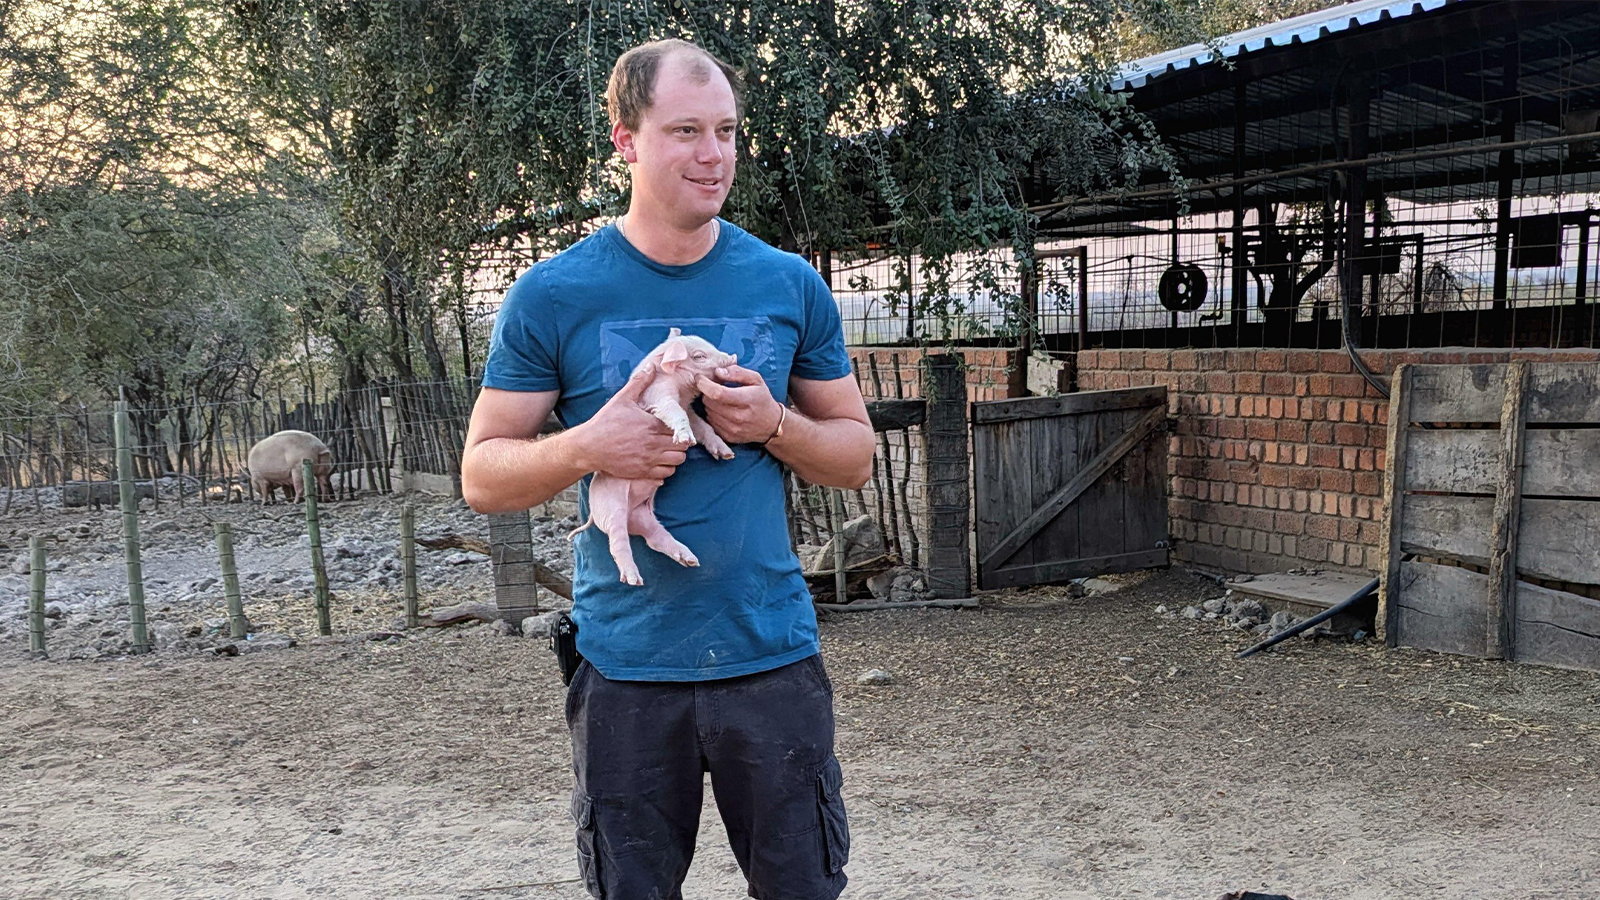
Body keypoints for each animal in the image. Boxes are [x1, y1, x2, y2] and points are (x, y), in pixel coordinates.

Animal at [572, 325, 739, 586]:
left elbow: (703, 427)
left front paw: (726, 454)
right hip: (613, 510)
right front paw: (686, 440)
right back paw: (634, 580)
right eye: (699, 356)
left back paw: (691, 560)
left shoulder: (689, 410)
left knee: (655, 539)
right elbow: (675, 412)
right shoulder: (657, 395)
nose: (733, 356)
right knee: (617, 544)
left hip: (644, 517)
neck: (680, 388)